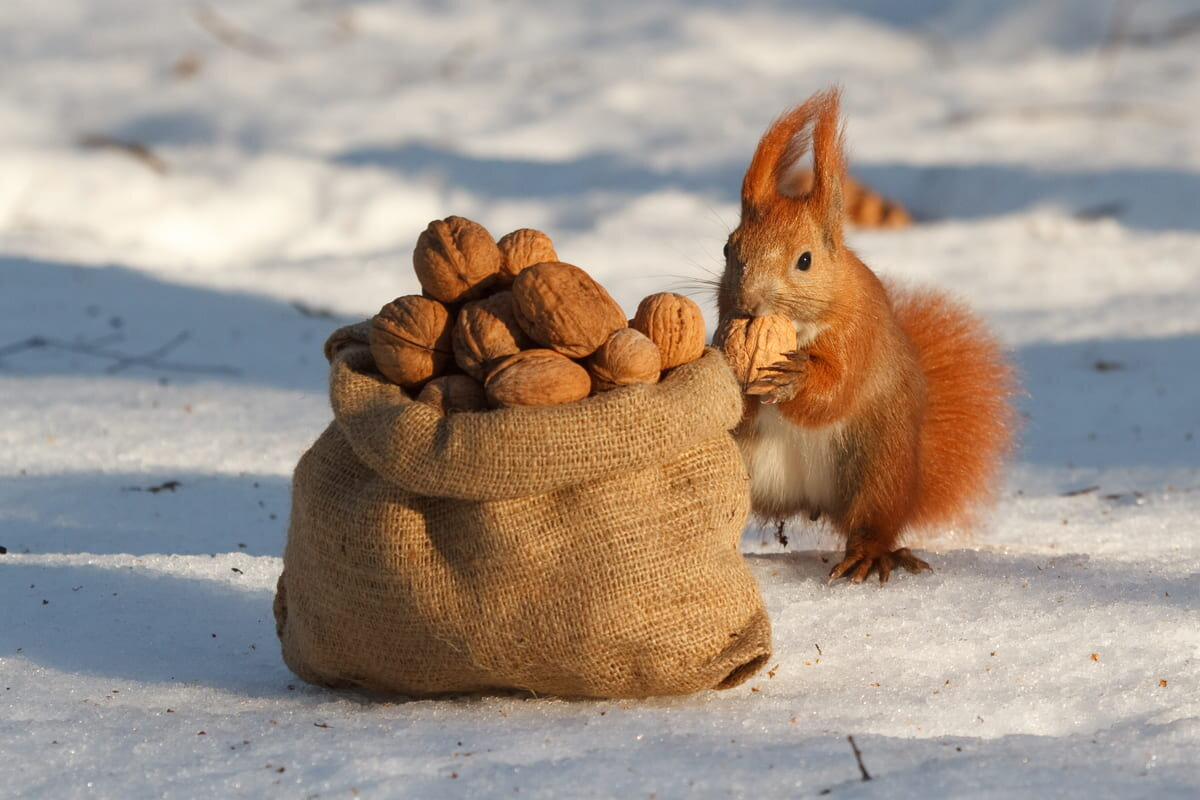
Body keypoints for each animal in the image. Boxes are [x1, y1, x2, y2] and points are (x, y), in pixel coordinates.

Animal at [715, 90, 1017, 585]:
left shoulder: (860, 335)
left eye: (805, 260)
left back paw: (872, 554)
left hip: (880, 464)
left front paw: (796, 378)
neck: (800, 329)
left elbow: (836, 390)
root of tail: (806, 501)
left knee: (873, 520)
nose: (748, 305)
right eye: (727, 248)